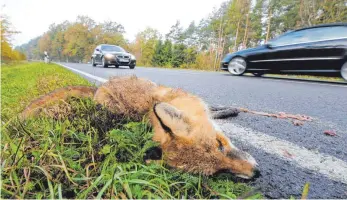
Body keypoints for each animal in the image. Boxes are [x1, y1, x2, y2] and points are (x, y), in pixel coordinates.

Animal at [20, 76, 260, 179]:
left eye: (220, 144)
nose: (257, 173)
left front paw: (227, 110)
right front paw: (227, 111)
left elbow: (213, 110)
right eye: (220, 172)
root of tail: (98, 89)